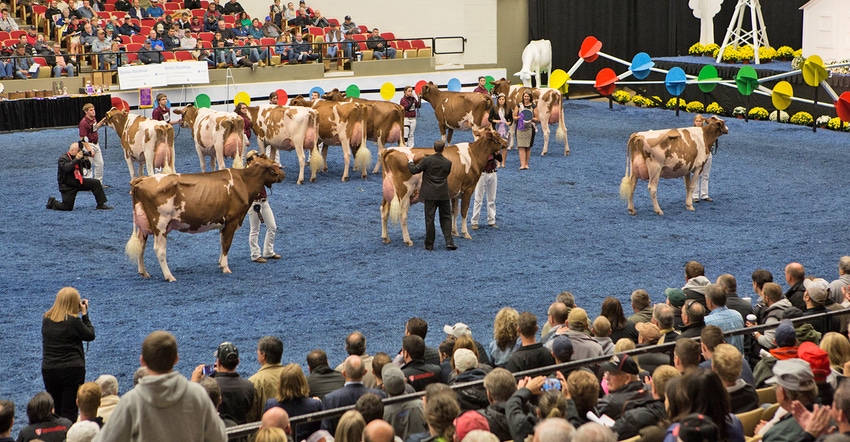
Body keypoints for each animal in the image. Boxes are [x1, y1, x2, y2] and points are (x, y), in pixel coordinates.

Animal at [125, 155, 284, 280]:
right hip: (160, 224)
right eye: (273, 166)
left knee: (141, 245)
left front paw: (220, 264)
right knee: (159, 250)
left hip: (144, 224)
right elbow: (227, 244)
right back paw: (169, 276)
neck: (244, 181)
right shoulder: (232, 219)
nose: (283, 173)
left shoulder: (223, 222)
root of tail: (142, 179)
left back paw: (144, 272)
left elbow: (222, 242)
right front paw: (226, 268)